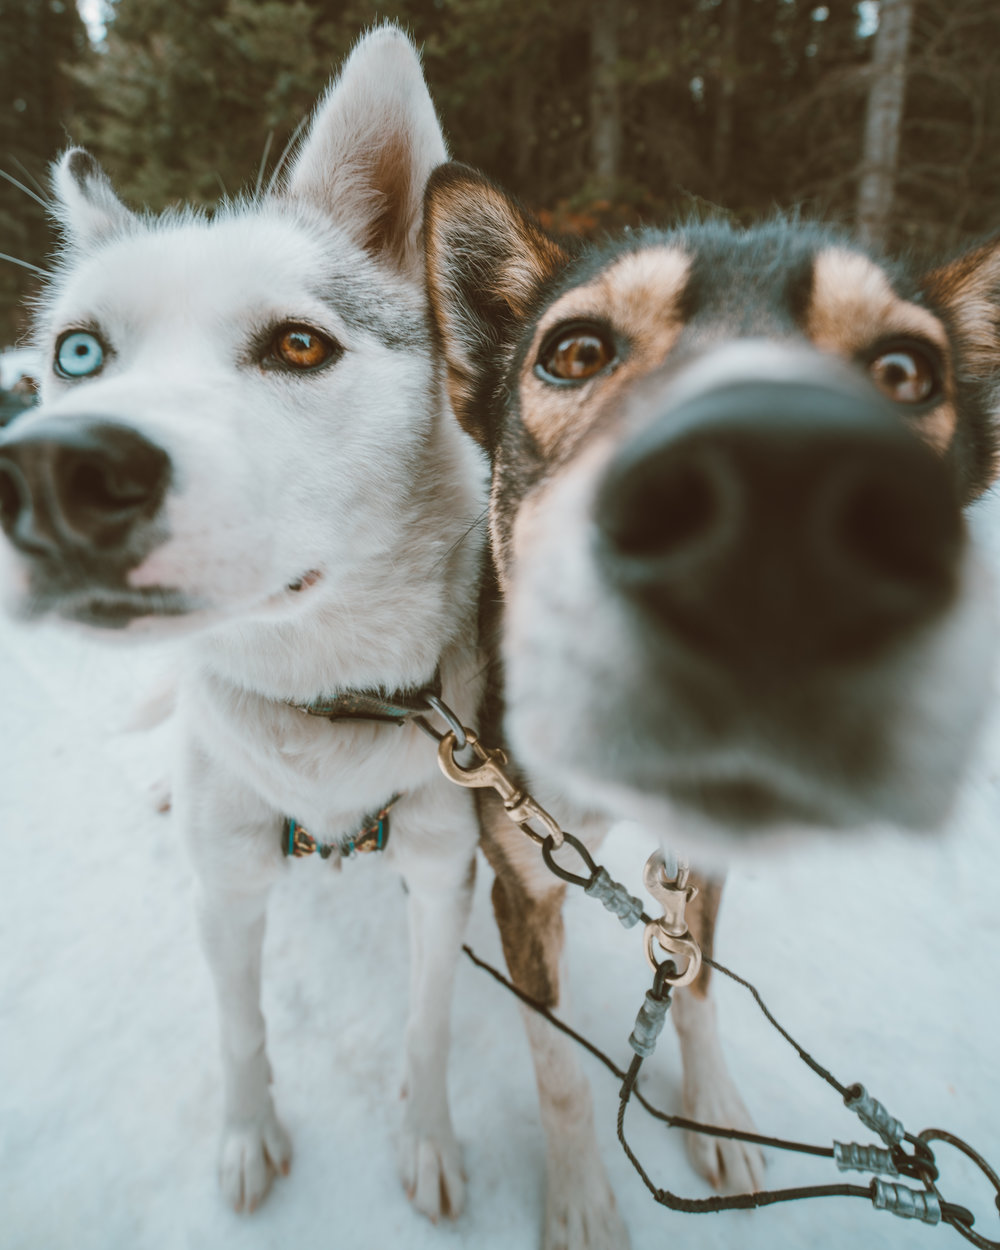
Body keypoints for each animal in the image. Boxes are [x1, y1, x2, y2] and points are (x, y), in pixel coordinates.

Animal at [0, 26, 485, 1220]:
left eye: (300, 346)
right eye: (78, 353)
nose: (53, 473)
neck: (325, 709)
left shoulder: (442, 871)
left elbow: (429, 1028)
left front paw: (429, 1138)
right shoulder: (223, 890)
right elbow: (239, 1029)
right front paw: (249, 1133)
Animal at [425, 166, 1000, 1250]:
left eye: (907, 370)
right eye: (575, 351)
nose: (781, 487)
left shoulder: (706, 867)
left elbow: (691, 986)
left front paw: (718, 1111)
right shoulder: (523, 882)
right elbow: (558, 1066)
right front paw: (580, 1197)